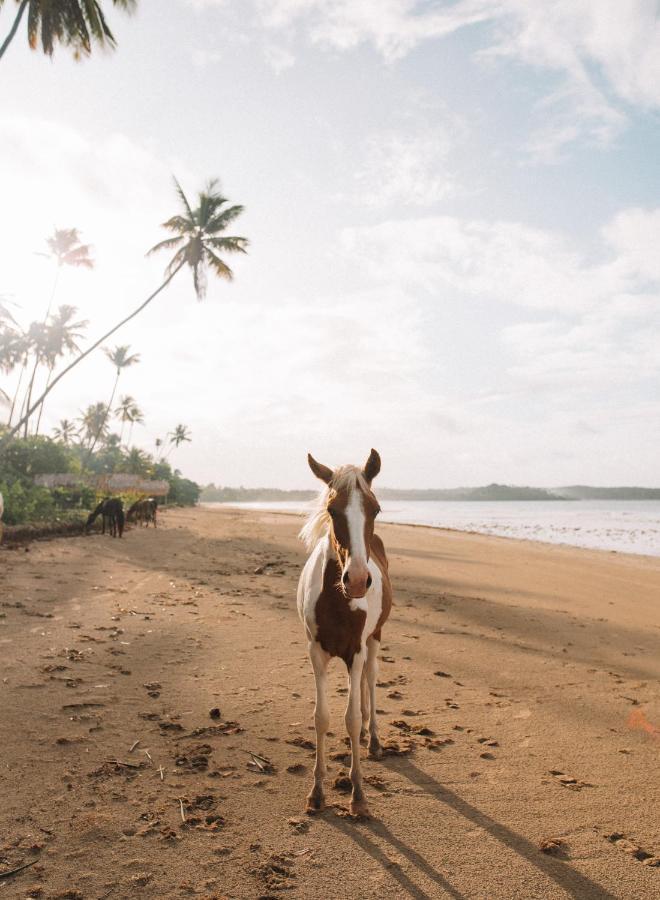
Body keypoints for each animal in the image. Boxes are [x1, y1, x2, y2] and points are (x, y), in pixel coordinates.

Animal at [298, 448, 392, 816]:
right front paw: (317, 791)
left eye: (375, 508)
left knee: (371, 679)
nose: (356, 580)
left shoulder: (356, 649)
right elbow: (321, 717)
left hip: (374, 640)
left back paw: (374, 738)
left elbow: (350, 718)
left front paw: (358, 795)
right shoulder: (317, 651)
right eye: (332, 510)